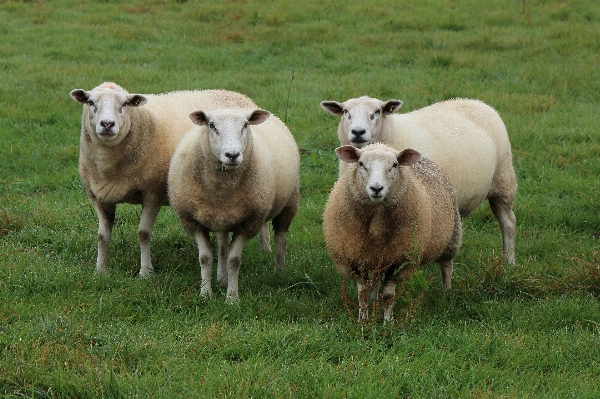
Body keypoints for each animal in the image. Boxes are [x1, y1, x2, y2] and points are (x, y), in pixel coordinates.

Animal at [68, 82, 260, 276]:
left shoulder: (152, 195)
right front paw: (100, 270)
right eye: (90, 103)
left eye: (124, 105)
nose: (107, 124)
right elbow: (102, 236)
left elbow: (143, 234)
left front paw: (146, 271)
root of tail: (237, 94)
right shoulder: (99, 197)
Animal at [166, 108, 300, 302]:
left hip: (289, 202)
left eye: (245, 125)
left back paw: (279, 271)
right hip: (221, 217)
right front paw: (206, 294)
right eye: (212, 125)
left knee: (281, 237)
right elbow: (205, 258)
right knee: (222, 245)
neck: (221, 190)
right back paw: (221, 277)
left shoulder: (249, 223)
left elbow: (234, 260)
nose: (232, 155)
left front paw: (231, 298)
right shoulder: (192, 220)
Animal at [322, 96, 516, 266]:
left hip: (503, 180)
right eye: (346, 111)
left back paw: (509, 262)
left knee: (508, 223)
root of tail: (476, 102)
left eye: (377, 111)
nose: (358, 132)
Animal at [322, 142, 462, 324]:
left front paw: (387, 322)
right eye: (361, 164)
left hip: (452, 236)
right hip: (378, 257)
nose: (376, 188)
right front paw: (363, 321)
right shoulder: (354, 259)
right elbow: (362, 293)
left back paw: (447, 292)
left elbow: (388, 294)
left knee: (446, 266)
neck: (376, 225)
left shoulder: (402, 259)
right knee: (375, 280)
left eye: (394, 165)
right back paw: (373, 300)